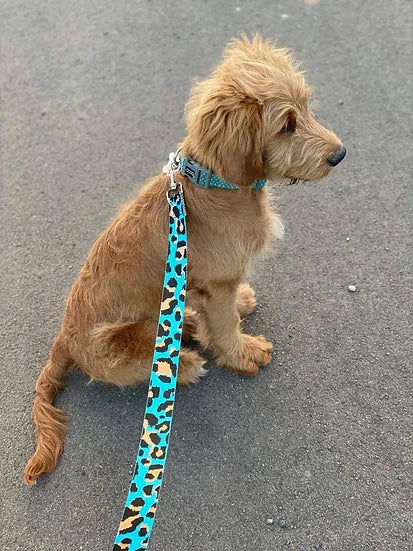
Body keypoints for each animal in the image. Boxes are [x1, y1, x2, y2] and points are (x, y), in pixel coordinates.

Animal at [22, 35, 344, 488]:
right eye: (287, 125)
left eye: (308, 107)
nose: (340, 154)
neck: (218, 183)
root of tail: (64, 340)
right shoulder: (219, 282)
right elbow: (225, 327)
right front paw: (243, 354)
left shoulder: (214, 284)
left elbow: (224, 314)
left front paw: (238, 314)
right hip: (126, 338)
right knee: (150, 363)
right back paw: (187, 363)